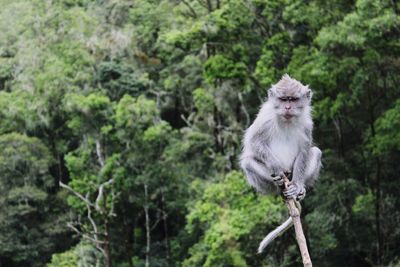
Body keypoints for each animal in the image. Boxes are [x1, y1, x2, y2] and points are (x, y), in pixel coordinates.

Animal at [238, 74, 322, 253]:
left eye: (293, 99)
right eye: (284, 99)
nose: (288, 107)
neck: (287, 120)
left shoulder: (307, 123)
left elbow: (304, 150)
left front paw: (298, 186)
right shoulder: (265, 119)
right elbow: (254, 142)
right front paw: (276, 167)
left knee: (316, 152)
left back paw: (299, 190)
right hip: (266, 186)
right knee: (248, 162)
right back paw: (277, 184)